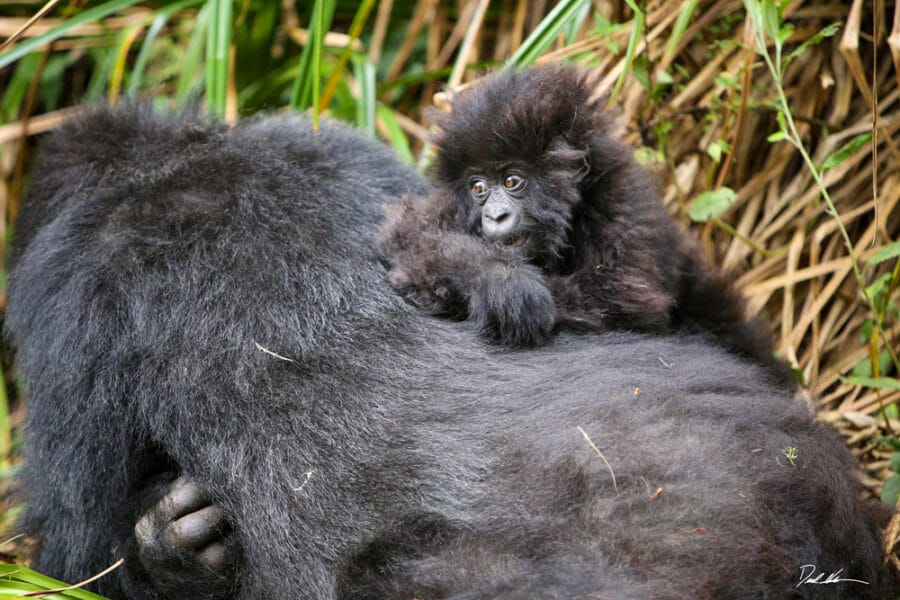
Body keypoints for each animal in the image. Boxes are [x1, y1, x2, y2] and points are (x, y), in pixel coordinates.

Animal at [376, 67, 784, 380]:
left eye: (512, 181)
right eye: (478, 188)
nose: (494, 216)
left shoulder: (621, 204)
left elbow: (616, 302)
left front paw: (505, 292)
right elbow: (411, 236)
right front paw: (501, 282)